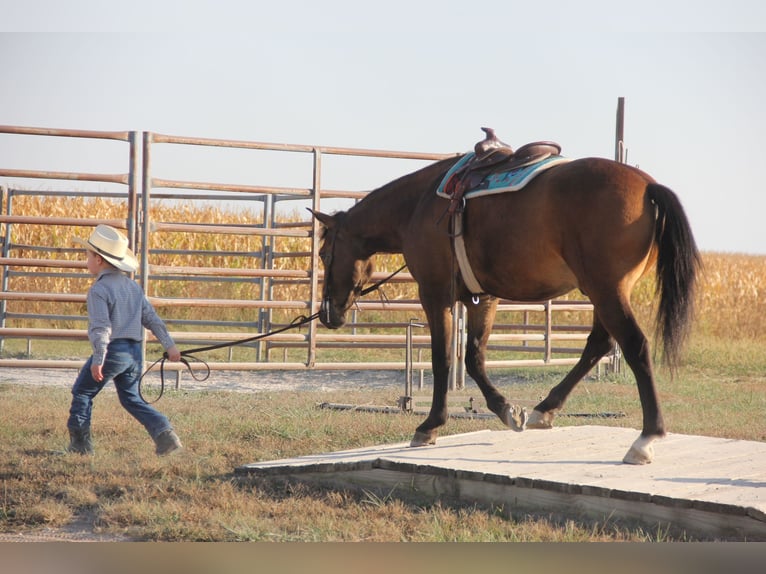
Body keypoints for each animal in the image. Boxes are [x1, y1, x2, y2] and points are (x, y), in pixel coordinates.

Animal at [312, 136, 704, 468]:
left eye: (324, 253)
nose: (327, 313)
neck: (417, 205)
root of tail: (648, 186)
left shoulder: (435, 294)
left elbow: (443, 359)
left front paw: (429, 426)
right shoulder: (482, 298)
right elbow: (473, 358)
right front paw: (506, 410)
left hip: (606, 289)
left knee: (633, 345)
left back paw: (646, 439)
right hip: (604, 291)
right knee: (600, 343)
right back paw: (545, 409)